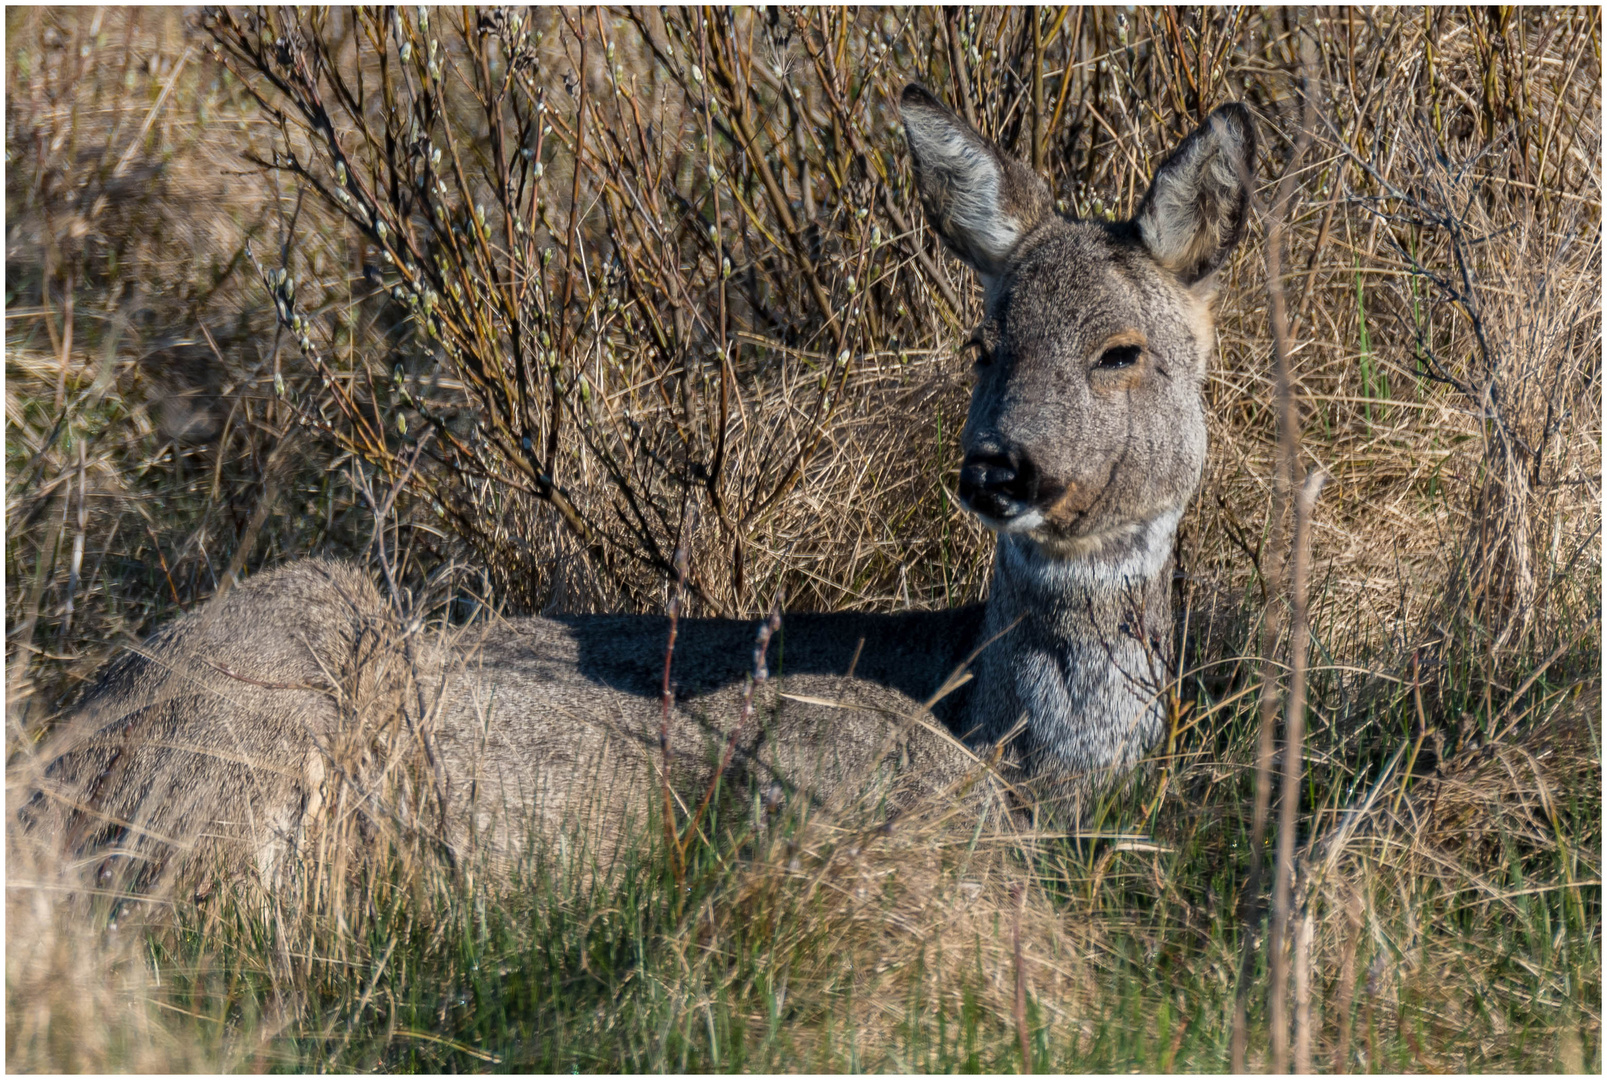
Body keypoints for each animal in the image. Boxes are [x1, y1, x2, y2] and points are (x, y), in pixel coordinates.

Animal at [15, 86, 1253, 893]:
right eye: (983, 341)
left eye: (1121, 350)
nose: (999, 466)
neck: (1030, 757)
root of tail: (51, 783)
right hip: (278, 655)